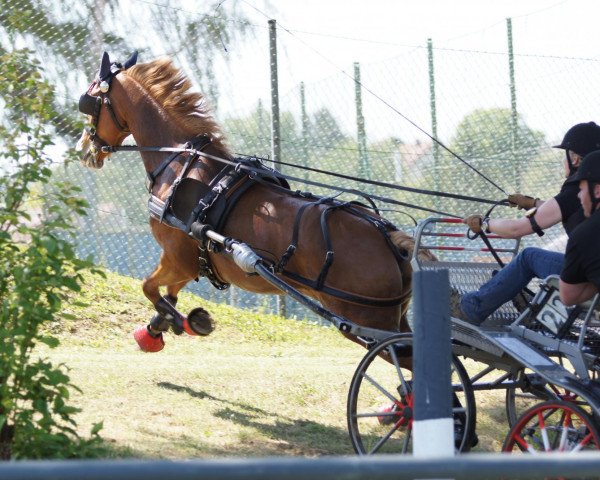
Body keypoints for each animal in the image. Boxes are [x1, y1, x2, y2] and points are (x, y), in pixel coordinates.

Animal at [76, 53, 432, 352]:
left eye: (90, 101)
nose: (84, 149)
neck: (182, 161)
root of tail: (389, 238)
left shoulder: (178, 257)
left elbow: (150, 289)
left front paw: (185, 323)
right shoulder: (192, 261)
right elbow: (169, 293)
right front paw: (155, 329)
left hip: (363, 320)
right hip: (391, 317)